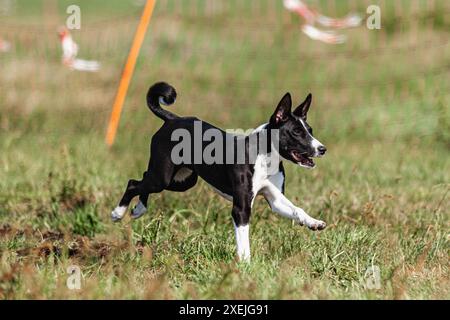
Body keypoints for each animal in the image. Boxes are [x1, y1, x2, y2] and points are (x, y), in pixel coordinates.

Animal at [110, 82, 326, 262]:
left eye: (310, 130)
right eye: (296, 132)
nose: (322, 149)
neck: (264, 157)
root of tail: (173, 120)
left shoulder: (275, 199)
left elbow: (297, 210)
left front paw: (314, 223)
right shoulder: (241, 208)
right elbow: (243, 240)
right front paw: (245, 266)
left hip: (181, 181)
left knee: (142, 180)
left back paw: (139, 209)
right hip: (163, 177)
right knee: (133, 183)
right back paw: (118, 213)